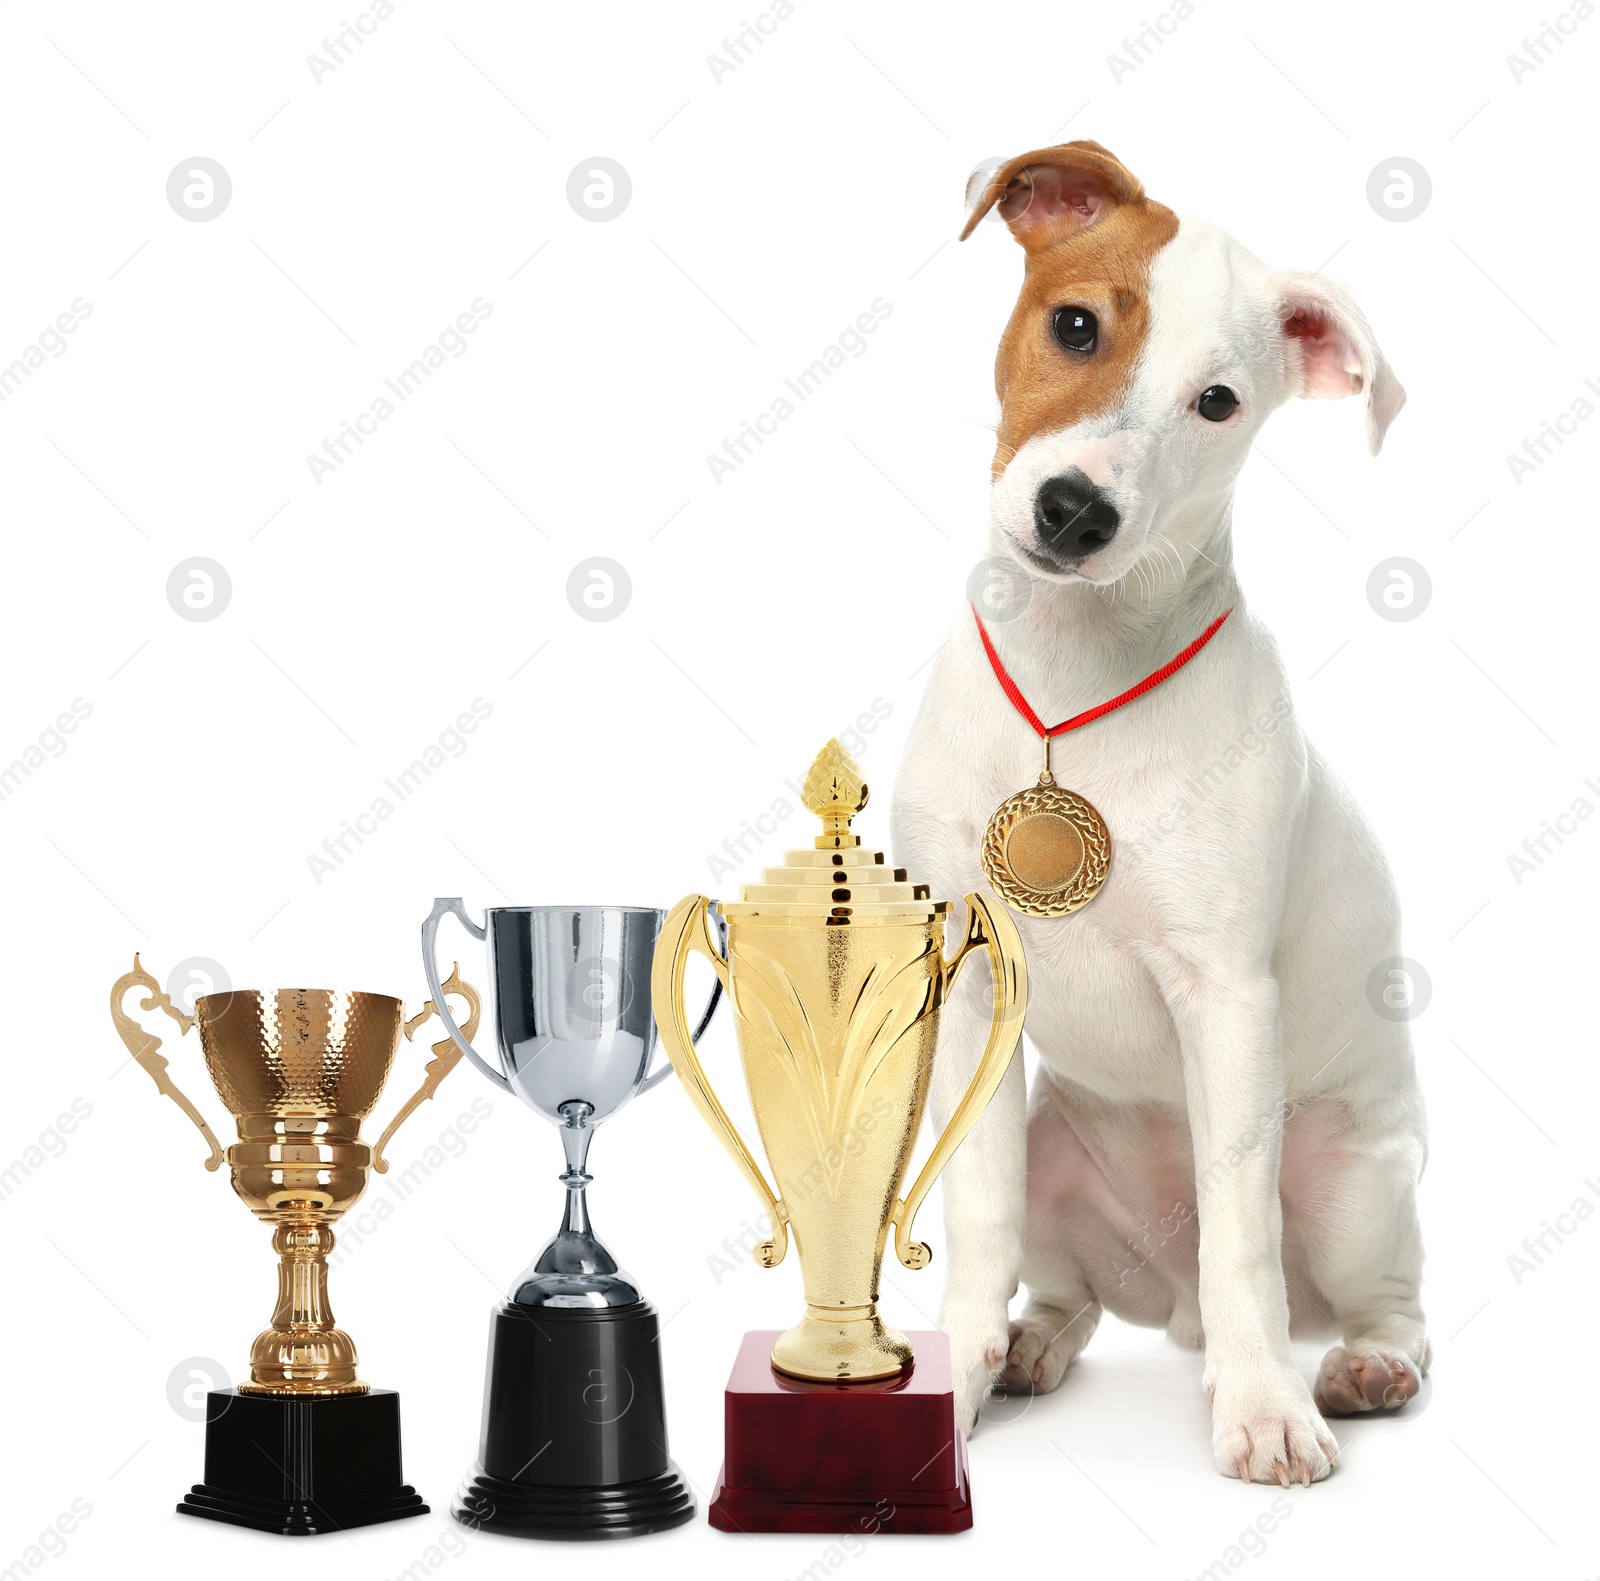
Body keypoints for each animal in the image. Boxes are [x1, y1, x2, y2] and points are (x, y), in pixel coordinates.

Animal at [896, 142, 1433, 1491]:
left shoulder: (1229, 1002)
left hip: (1354, 1184)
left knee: (1380, 1299)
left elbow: (1238, 1240)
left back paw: (1360, 1367)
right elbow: (976, 1227)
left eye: (1218, 404)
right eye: (1076, 325)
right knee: (1072, 1298)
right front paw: (956, 1378)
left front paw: (1262, 1412)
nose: (1074, 511)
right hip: (1051, 1154)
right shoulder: (971, 988)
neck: (1072, 686)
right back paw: (1030, 1350)